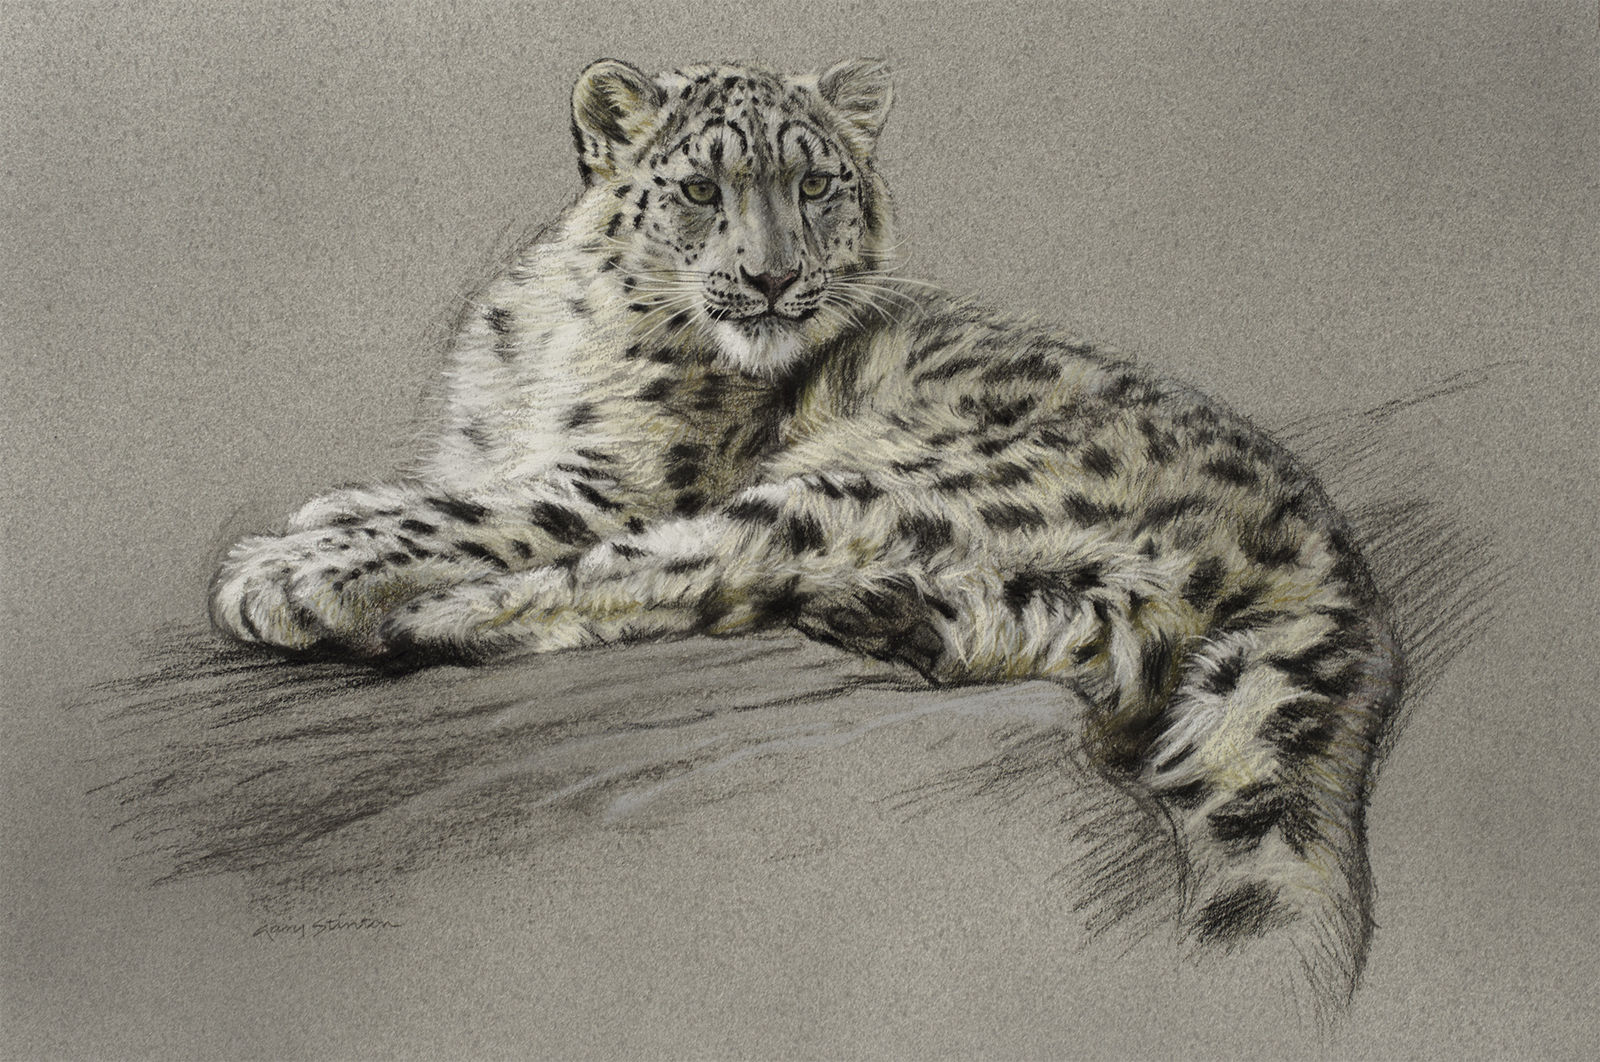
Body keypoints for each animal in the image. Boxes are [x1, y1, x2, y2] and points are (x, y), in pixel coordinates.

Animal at [210, 58, 1404, 1012]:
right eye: (701, 188)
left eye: (817, 183)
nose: (775, 276)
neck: (565, 327)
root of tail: (1317, 552)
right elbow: (438, 489)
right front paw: (327, 513)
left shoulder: (610, 487)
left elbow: (472, 515)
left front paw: (286, 570)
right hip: (1057, 586)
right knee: (1063, 646)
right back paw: (883, 615)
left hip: (860, 487)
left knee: (672, 577)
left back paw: (430, 616)